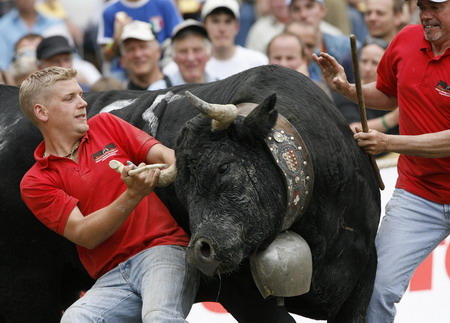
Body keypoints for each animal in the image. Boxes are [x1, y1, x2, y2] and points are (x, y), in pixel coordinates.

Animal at [0, 64, 380, 322]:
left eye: (223, 167)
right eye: (180, 190)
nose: (201, 251)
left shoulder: (364, 274)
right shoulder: (243, 294)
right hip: (27, 291)